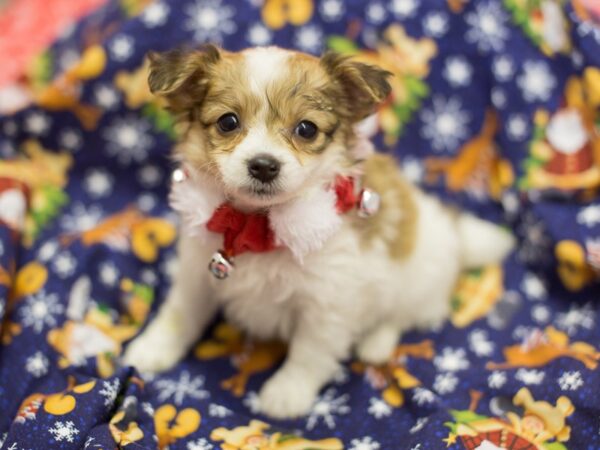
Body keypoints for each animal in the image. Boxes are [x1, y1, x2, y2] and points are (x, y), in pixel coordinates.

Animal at [123, 44, 516, 418]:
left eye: (306, 129)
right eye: (228, 122)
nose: (263, 165)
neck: (258, 227)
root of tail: (455, 235)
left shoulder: (326, 304)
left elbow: (308, 353)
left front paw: (287, 393)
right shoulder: (197, 274)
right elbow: (179, 315)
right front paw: (151, 349)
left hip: (418, 282)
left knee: (404, 316)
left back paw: (375, 344)